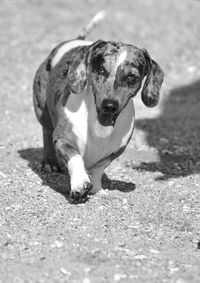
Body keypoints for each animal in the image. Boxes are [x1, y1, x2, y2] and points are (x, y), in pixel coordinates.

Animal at [32, 11, 164, 202]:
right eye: (100, 70)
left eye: (132, 78)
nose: (109, 105)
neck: (97, 128)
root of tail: (74, 40)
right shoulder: (63, 140)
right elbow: (75, 157)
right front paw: (80, 183)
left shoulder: (113, 152)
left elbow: (97, 170)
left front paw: (96, 188)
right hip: (41, 108)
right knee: (46, 132)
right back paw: (49, 162)